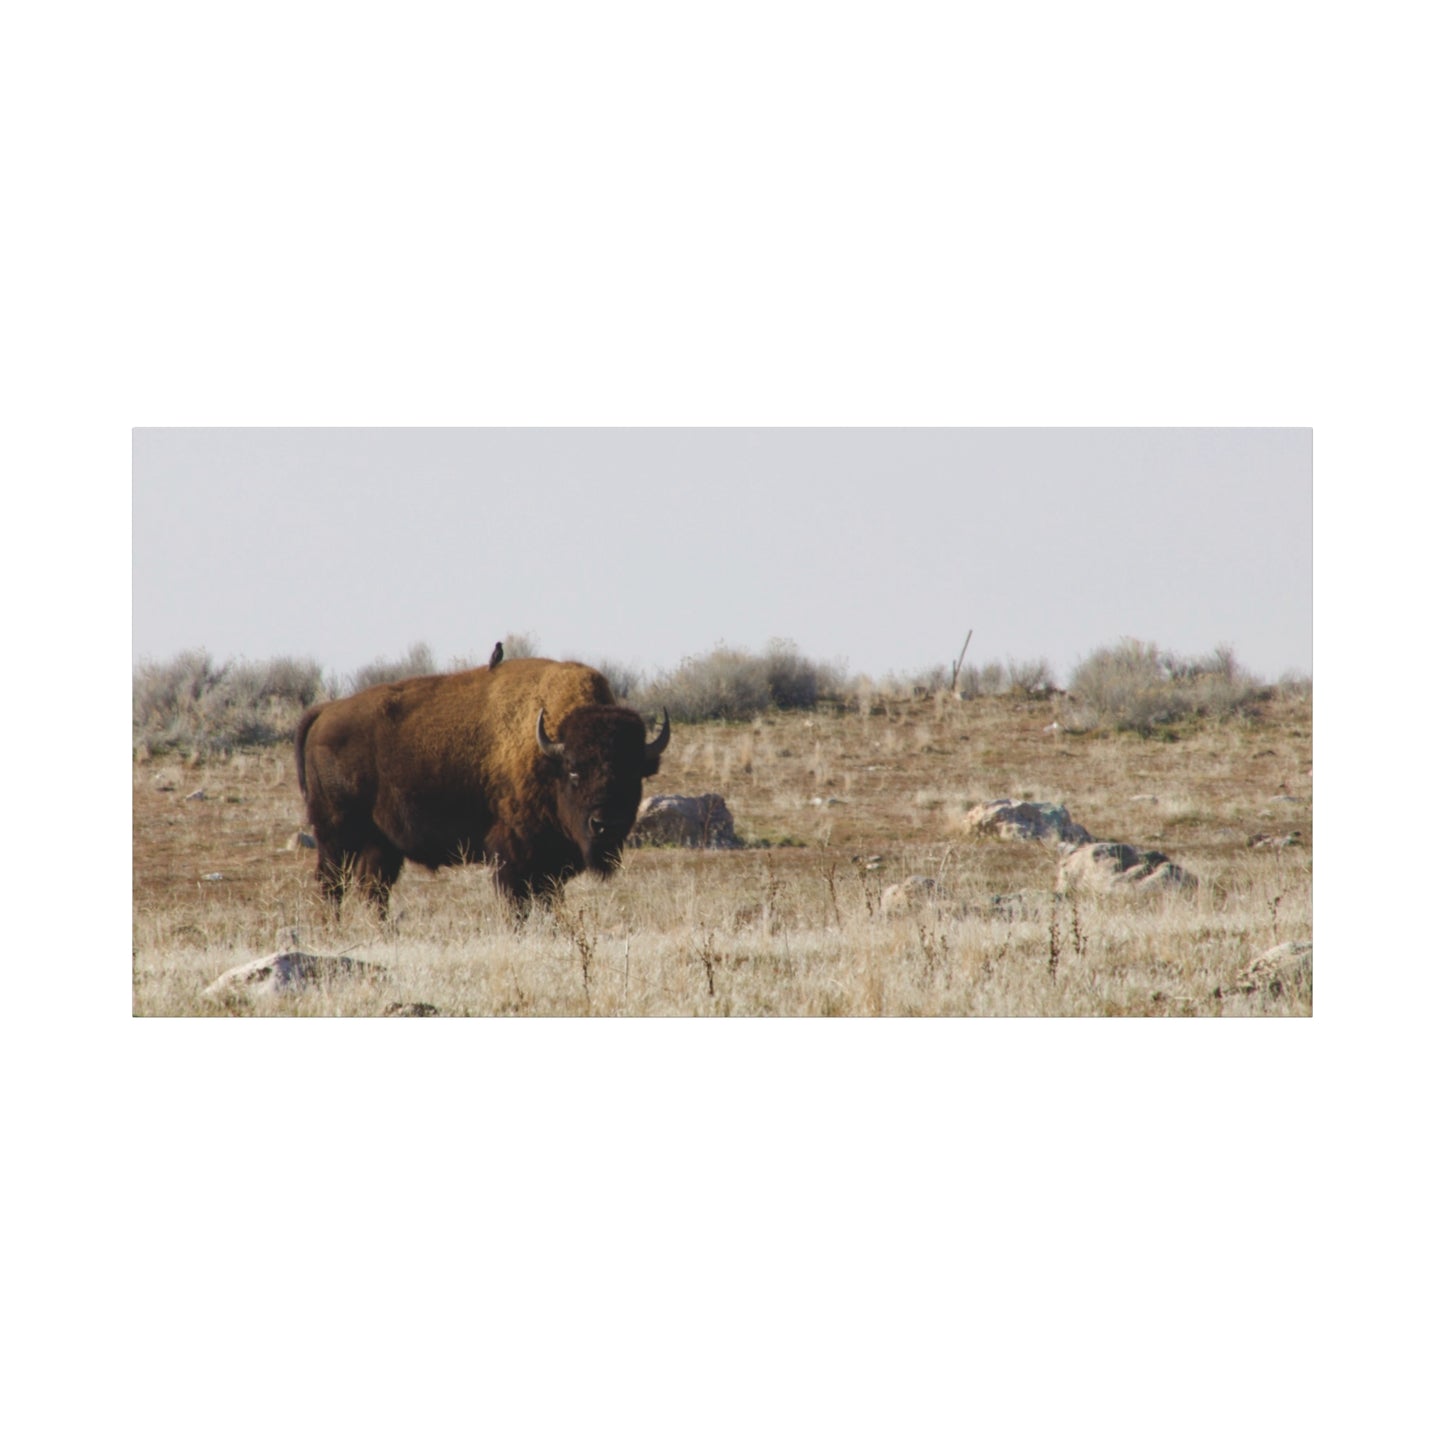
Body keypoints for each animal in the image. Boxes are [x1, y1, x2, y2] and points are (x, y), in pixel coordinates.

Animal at [295, 658, 669, 917]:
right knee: (332, 885)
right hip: (336, 834)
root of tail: (325, 711)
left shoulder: (550, 864)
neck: (548, 754)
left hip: (380, 843)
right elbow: (518, 904)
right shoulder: (513, 855)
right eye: (575, 771)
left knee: (373, 889)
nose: (605, 825)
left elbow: (548, 900)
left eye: (633, 774)